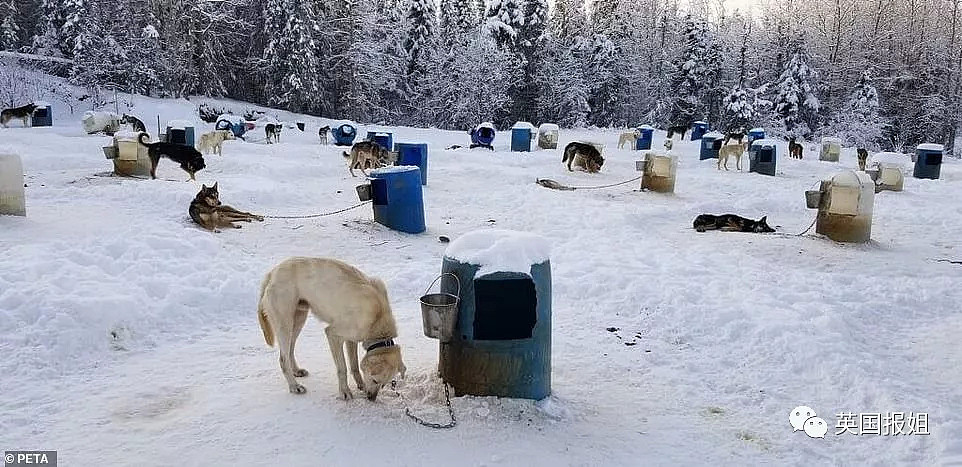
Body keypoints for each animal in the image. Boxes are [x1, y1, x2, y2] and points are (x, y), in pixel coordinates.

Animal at [255, 258, 404, 400]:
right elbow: (342, 368)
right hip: (285, 325)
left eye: (383, 384)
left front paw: (360, 384)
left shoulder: (352, 338)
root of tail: (272, 273)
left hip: (298, 319)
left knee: (290, 350)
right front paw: (344, 392)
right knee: (283, 358)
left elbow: (354, 365)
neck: (377, 318)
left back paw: (296, 371)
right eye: (374, 381)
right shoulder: (333, 334)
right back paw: (294, 386)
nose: (371, 399)